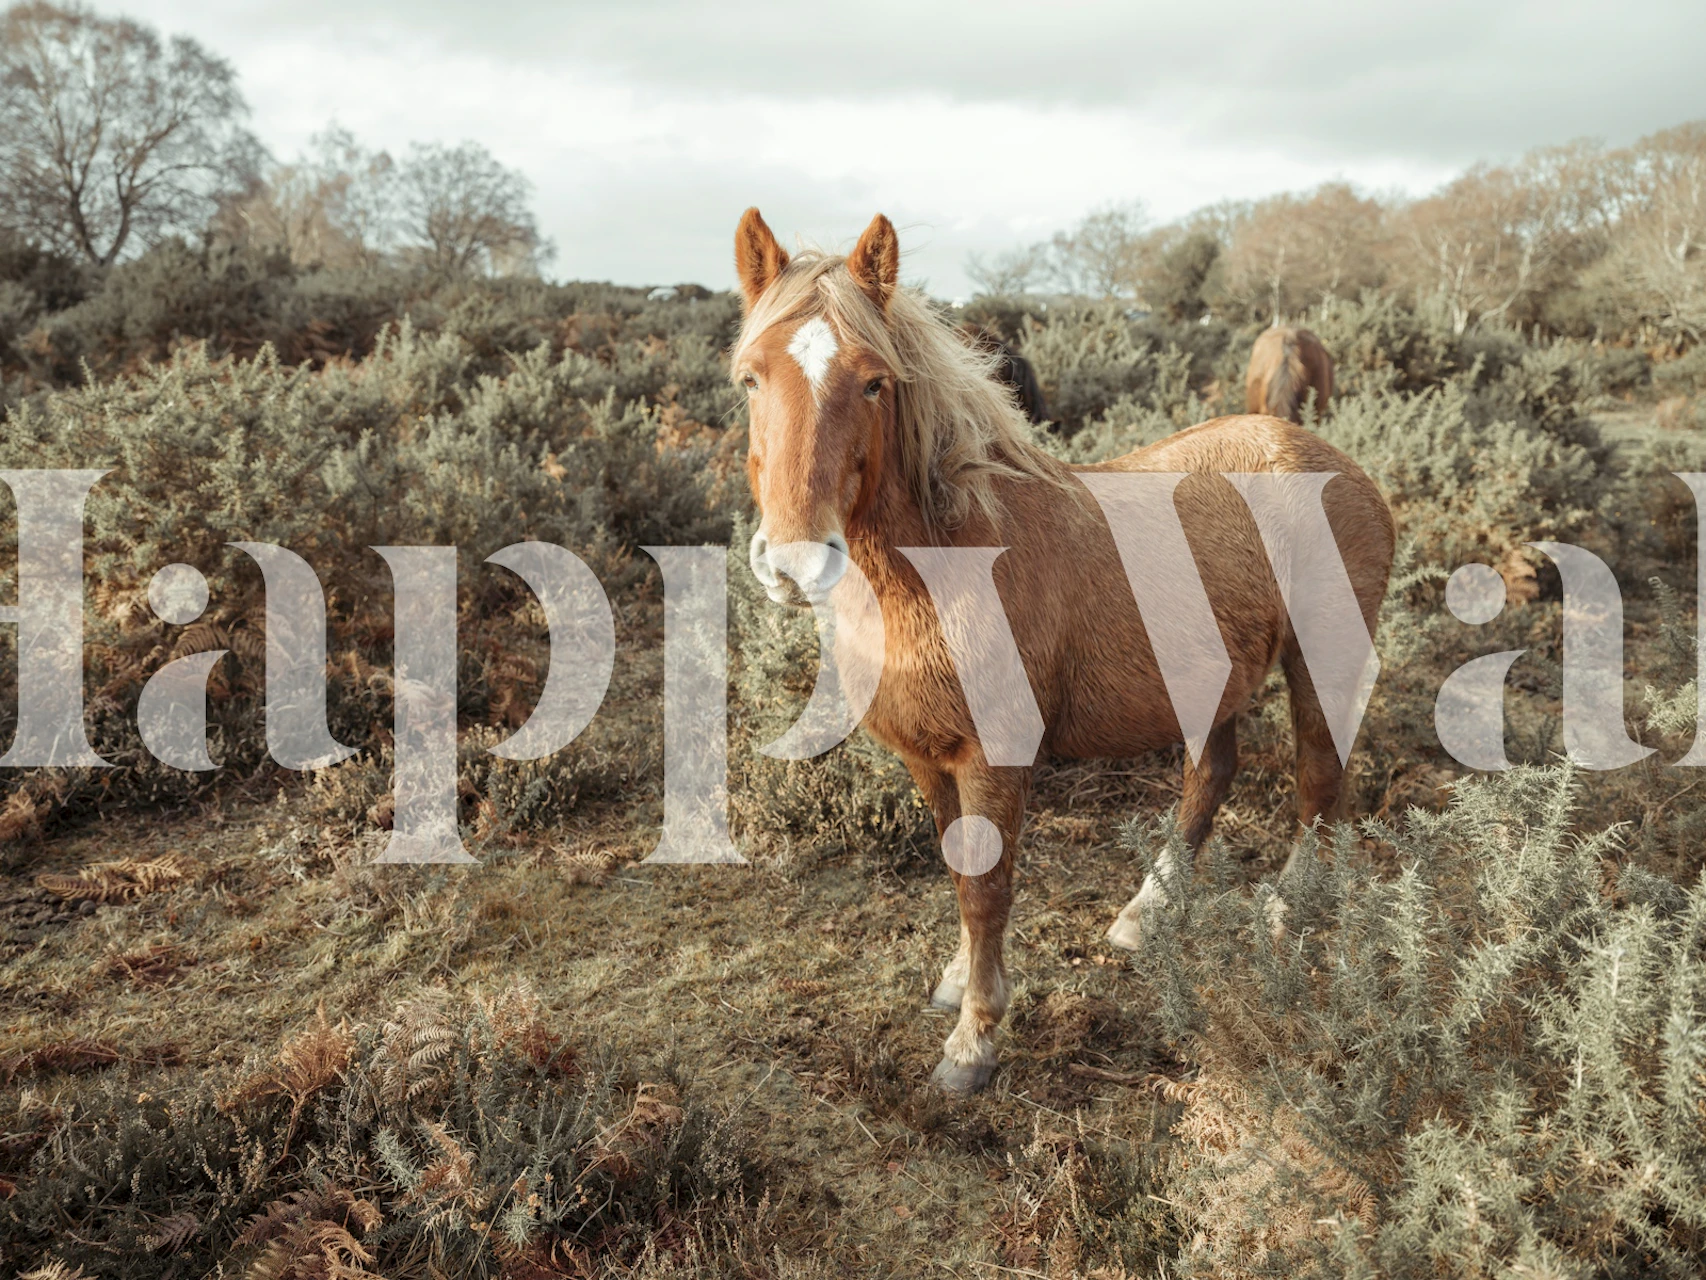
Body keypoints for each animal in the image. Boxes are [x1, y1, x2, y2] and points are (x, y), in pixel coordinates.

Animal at [734, 208, 1394, 1092]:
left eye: (873, 381)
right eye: (751, 379)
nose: (795, 561)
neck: (946, 561)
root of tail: (1328, 459)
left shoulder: (995, 754)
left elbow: (986, 887)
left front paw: (974, 1040)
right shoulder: (923, 754)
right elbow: (956, 865)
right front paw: (958, 982)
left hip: (1321, 658)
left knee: (1319, 781)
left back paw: (1288, 907)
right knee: (1212, 775)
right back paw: (1147, 912)